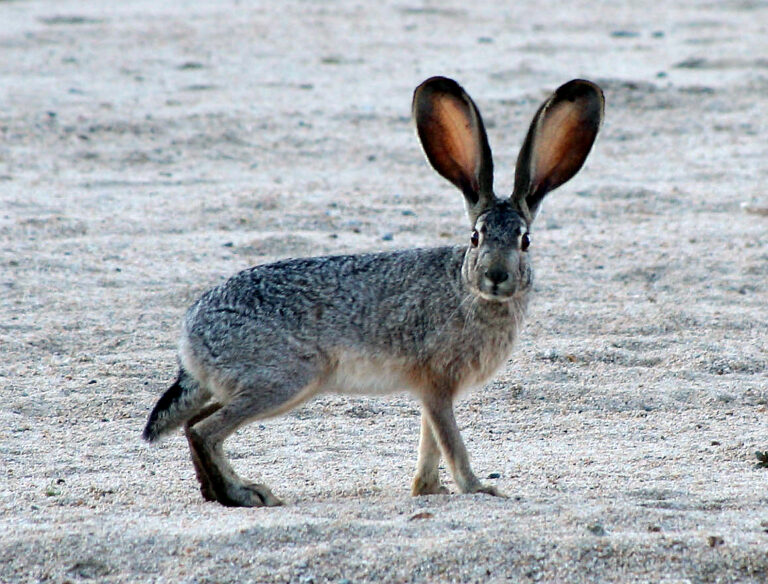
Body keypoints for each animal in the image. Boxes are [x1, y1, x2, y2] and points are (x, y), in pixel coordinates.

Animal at [142, 76, 604, 507]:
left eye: (525, 241)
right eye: (476, 237)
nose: (495, 275)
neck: (467, 289)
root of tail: (189, 337)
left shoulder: (430, 391)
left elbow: (431, 440)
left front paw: (428, 490)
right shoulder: (437, 382)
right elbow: (450, 441)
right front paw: (476, 488)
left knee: (192, 425)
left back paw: (218, 491)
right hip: (285, 380)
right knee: (207, 430)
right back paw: (246, 493)